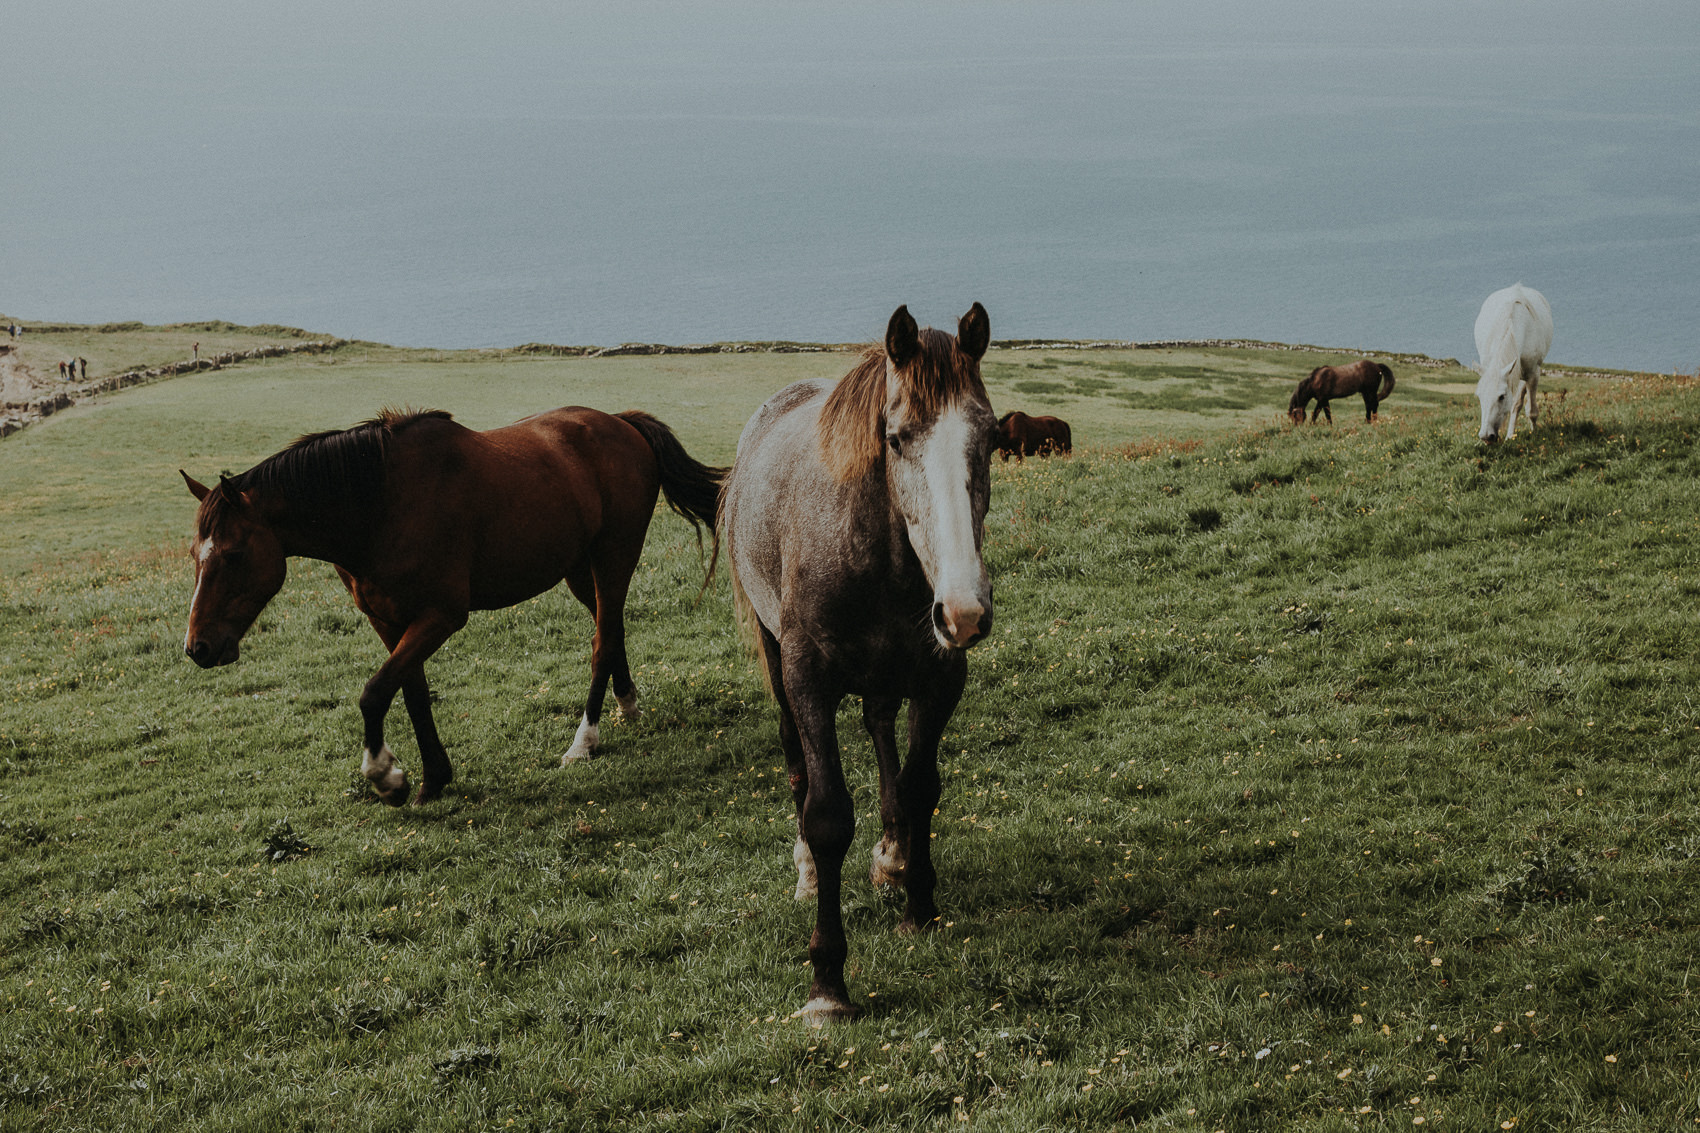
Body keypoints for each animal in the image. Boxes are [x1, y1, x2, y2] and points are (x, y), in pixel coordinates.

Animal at [181, 406, 724, 802]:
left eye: (233, 554)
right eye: (193, 554)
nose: (197, 647)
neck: (379, 504)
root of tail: (621, 422)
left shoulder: (440, 617)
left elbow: (374, 693)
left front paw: (386, 776)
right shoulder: (388, 620)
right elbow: (412, 692)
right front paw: (433, 777)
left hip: (614, 557)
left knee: (600, 643)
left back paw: (583, 743)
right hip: (579, 569)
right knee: (612, 632)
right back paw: (627, 705)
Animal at [720, 302, 992, 1020]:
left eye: (989, 437)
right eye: (895, 439)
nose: (964, 609)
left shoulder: (940, 677)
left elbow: (922, 785)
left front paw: (919, 903)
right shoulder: (809, 680)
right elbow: (827, 815)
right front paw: (827, 981)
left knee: (879, 729)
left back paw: (893, 855)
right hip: (776, 657)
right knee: (796, 758)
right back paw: (809, 873)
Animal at [1475, 282, 1557, 442]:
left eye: (1501, 397)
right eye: (1479, 396)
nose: (1486, 436)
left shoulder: (1533, 374)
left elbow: (1529, 409)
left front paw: (1531, 433)